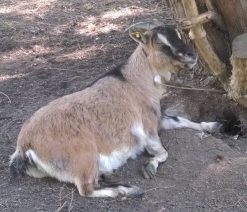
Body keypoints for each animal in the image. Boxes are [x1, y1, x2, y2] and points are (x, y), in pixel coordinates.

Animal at [9, 21, 220, 197]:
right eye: (161, 44)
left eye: (178, 35)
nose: (192, 55)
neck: (133, 79)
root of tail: (24, 146)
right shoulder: (148, 127)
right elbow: (162, 152)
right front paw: (149, 166)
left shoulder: (157, 118)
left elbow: (180, 120)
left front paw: (212, 126)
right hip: (84, 156)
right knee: (86, 189)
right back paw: (128, 189)